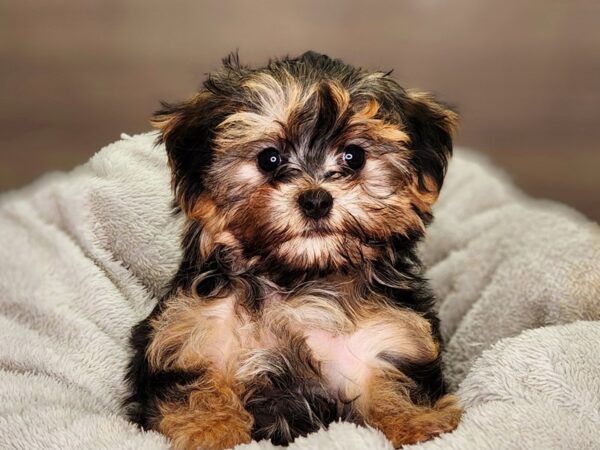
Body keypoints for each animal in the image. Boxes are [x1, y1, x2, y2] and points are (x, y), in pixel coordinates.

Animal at [124, 51, 462, 448]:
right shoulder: (193, 336)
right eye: (269, 158)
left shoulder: (387, 339)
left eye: (354, 156)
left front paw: (418, 425)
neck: (298, 279)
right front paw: (211, 430)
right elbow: (201, 391)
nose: (316, 200)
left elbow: (397, 391)